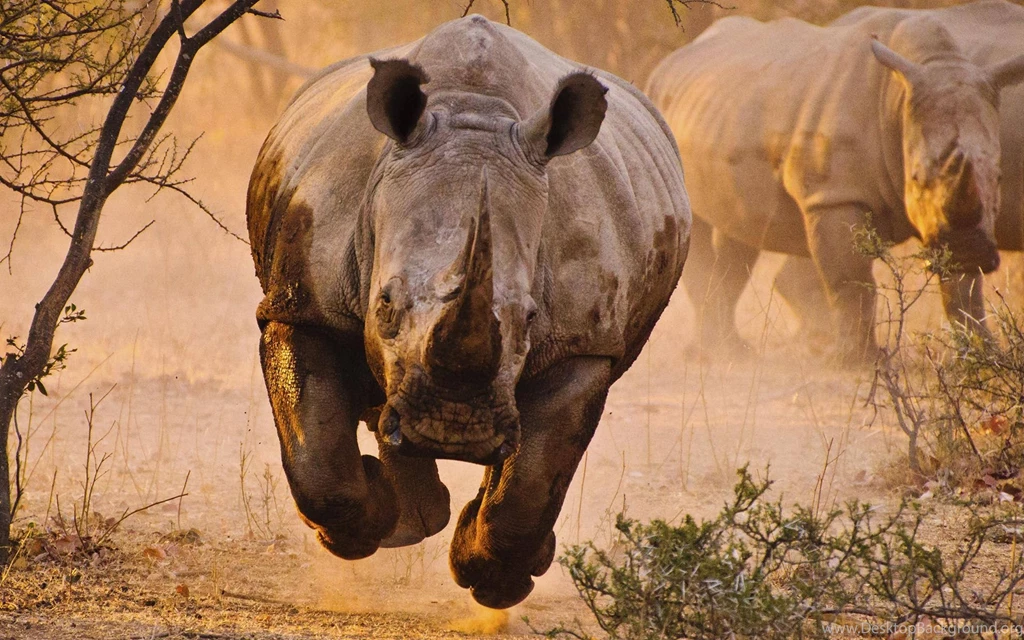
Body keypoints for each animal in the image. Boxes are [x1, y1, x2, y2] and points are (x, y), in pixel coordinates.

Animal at [246, 15, 690, 608]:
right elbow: (318, 461)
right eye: (384, 305)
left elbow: (532, 482)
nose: (452, 428)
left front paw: (494, 580)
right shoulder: (301, 302)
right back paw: (411, 520)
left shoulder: (583, 342)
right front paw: (364, 526)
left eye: (530, 318)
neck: (473, 113)